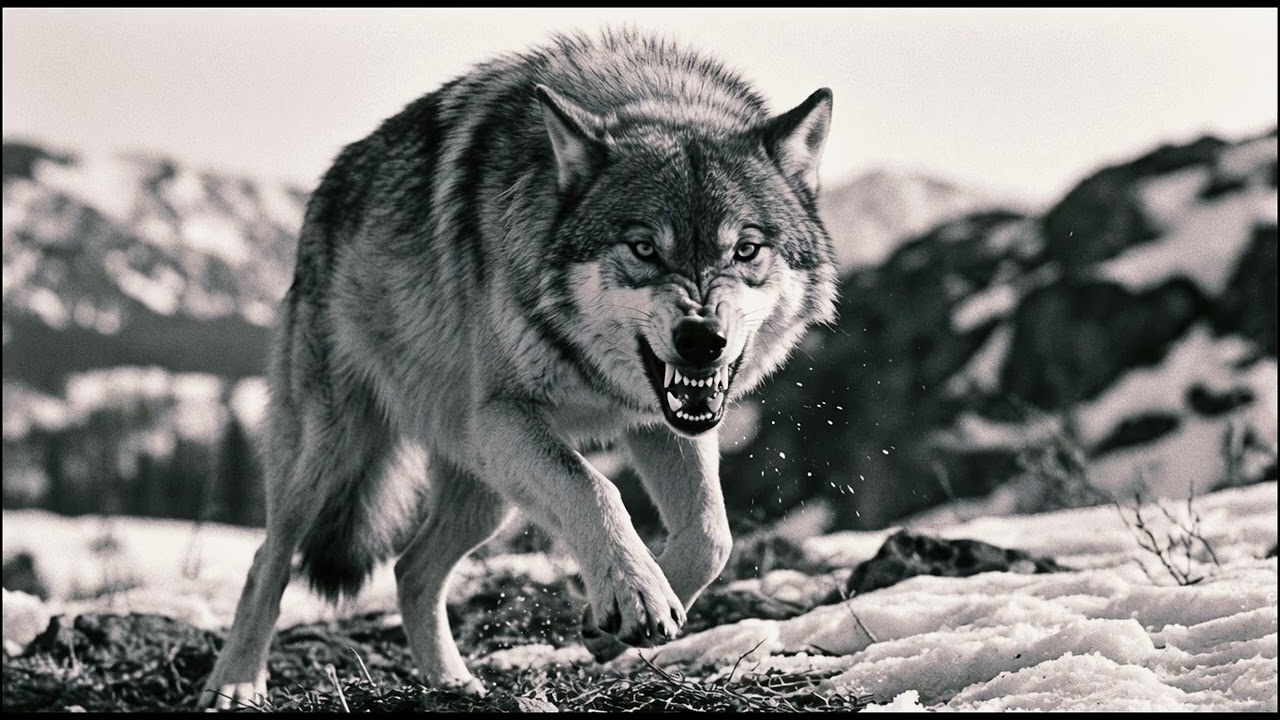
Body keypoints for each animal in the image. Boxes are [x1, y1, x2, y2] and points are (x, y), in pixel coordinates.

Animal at [198, 28, 837, 708]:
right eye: (643, 248)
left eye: (746, 249)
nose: (701, 341)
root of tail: (326, 187)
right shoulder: (506, 416)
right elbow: (597, 488)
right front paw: (635, 592)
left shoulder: (659, 424)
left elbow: (712, 536)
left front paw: (610, 624)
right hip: (329, 457)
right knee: (268, 559)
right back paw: (236, 681)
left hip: (487, 490)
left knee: (411, 570)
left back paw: (453, 682)